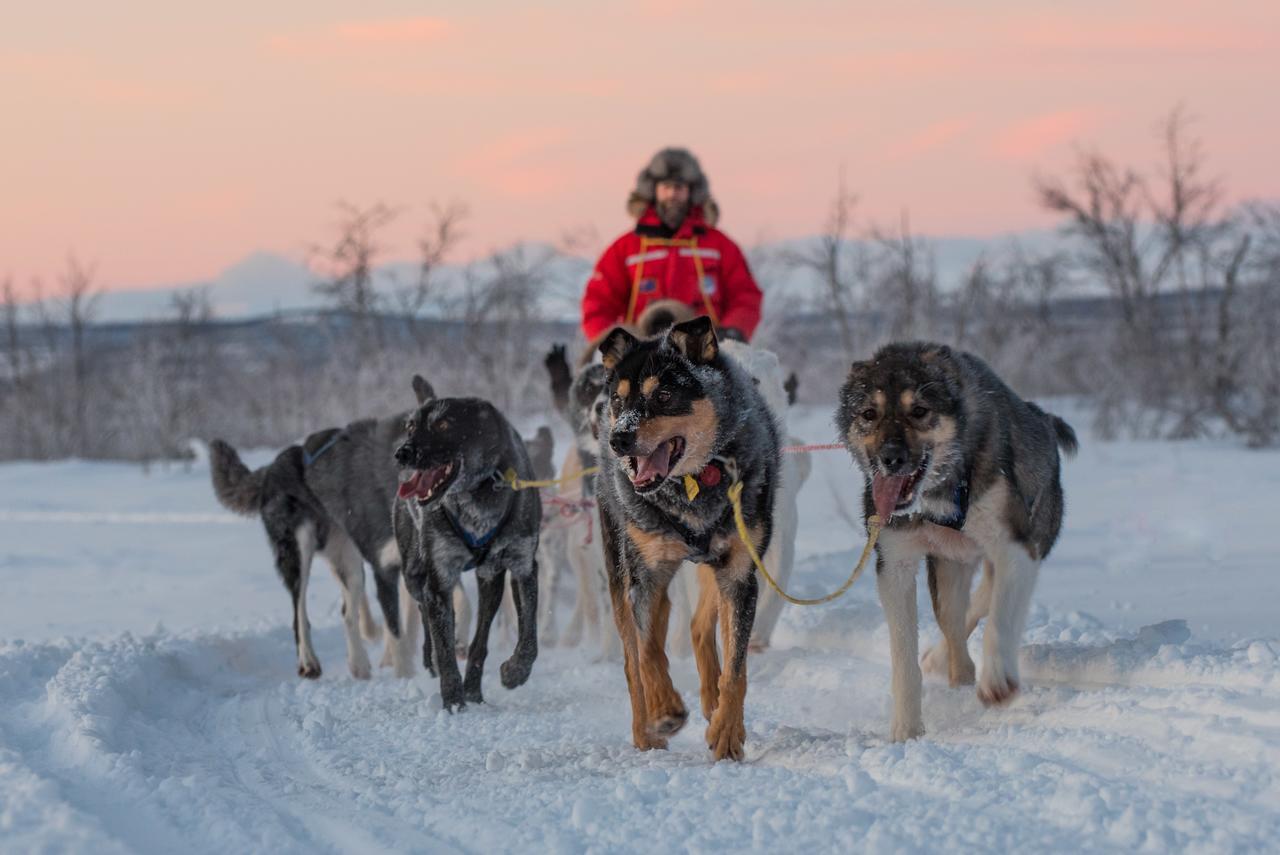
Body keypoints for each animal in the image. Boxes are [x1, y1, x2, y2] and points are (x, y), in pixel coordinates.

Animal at [394, 381, 545, 706]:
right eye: (411, 426)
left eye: (443, 424)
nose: (402, 452)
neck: (477, 495)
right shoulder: (440, 575)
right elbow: (446, 649)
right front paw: (453, 704)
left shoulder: (520, 566)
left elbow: (525, 636)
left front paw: (513, 672)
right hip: (414, 575)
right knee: (427, 610)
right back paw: (432, 657)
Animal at [834, 343, 1075, 742]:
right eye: (869, 413)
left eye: (919, 411)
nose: (891, 457)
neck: (940, 493)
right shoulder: (895, 563)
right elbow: (904, 658)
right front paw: (906, 729)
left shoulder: (1015, 547)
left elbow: (999, 620)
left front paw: (997, 678)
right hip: (950, 564)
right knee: (953, 619)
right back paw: (949, 662)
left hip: (1032, 533)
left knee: (984, 597)